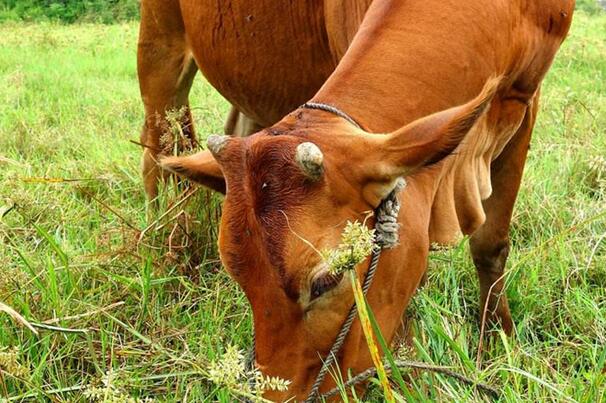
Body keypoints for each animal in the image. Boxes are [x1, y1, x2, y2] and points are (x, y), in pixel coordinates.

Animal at [140, 0, 576, 400]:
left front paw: (498, 339)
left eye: (327, 280)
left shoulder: (526, 100)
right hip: (160, 47)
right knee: (157, 147)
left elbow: (490, 245)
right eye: (240, 279)